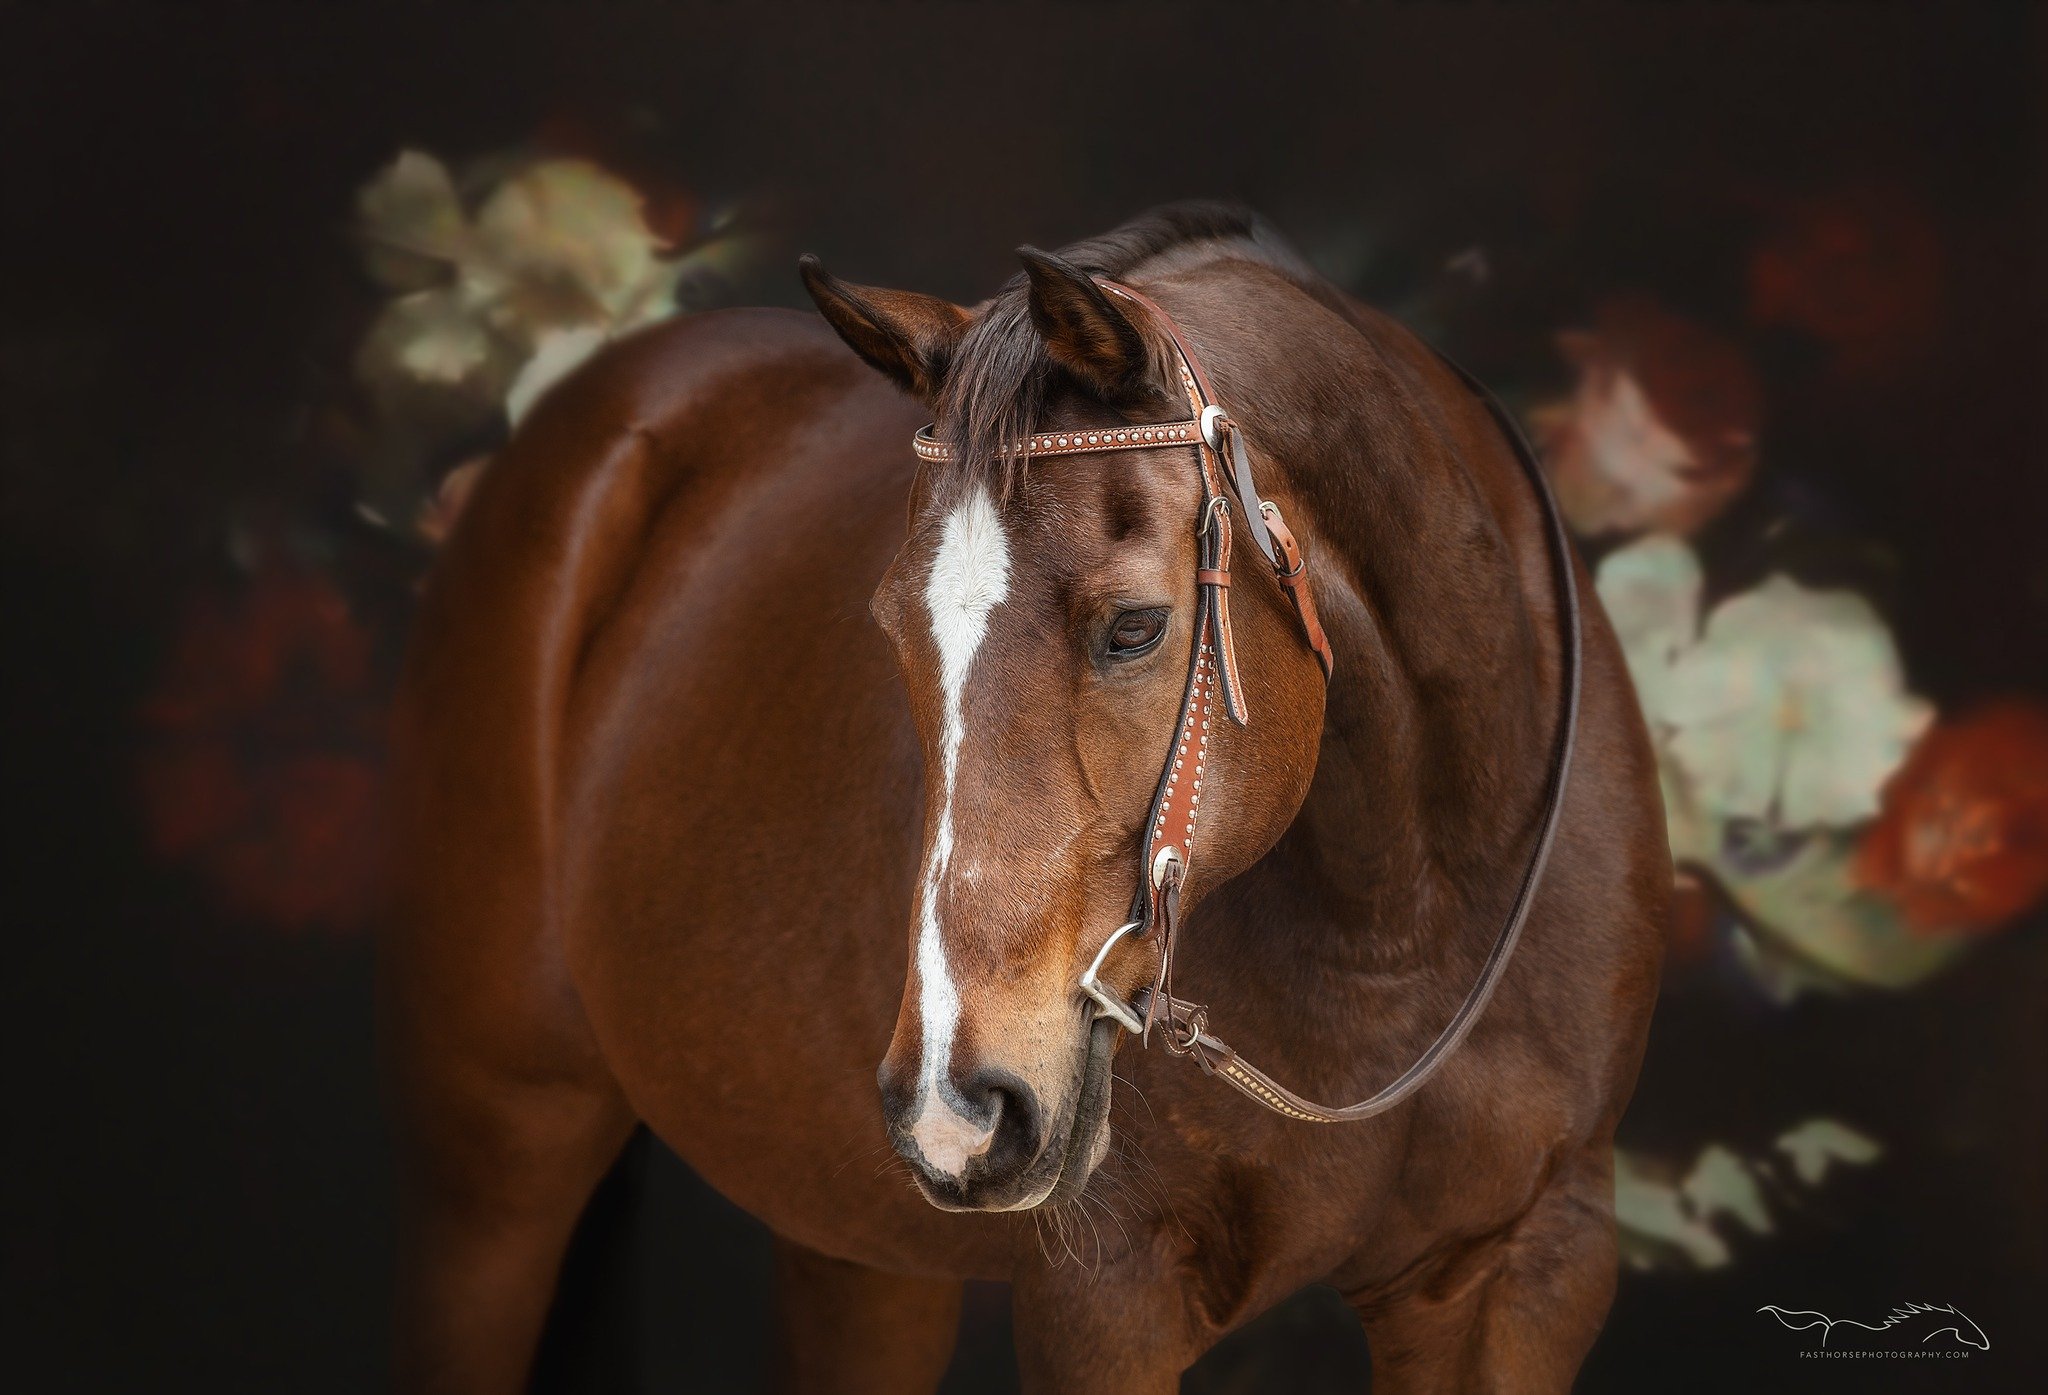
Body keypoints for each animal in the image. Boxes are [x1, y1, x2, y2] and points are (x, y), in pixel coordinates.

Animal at [385, 201, 1662, 1384]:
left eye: (1135, 627)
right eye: (892, 630)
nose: (960, 1106)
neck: (1406, 909)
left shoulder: (1523, 1272)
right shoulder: (1106, 1299)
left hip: (854, 1248)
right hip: (498, 1155)